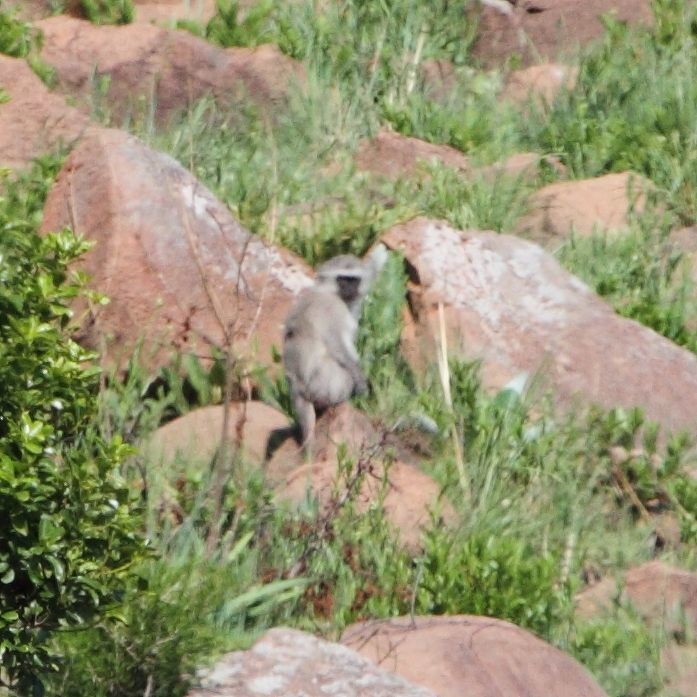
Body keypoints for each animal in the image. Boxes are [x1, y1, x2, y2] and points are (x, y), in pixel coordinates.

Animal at [284, 245, 392, 448]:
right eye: (342, 279)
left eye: (353, 279)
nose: (349, 289)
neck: (328, 292)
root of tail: (297, 388)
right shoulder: (333, 309)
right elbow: (338, 347)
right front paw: (363, 386)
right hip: (324, 384)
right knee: (345, 377)